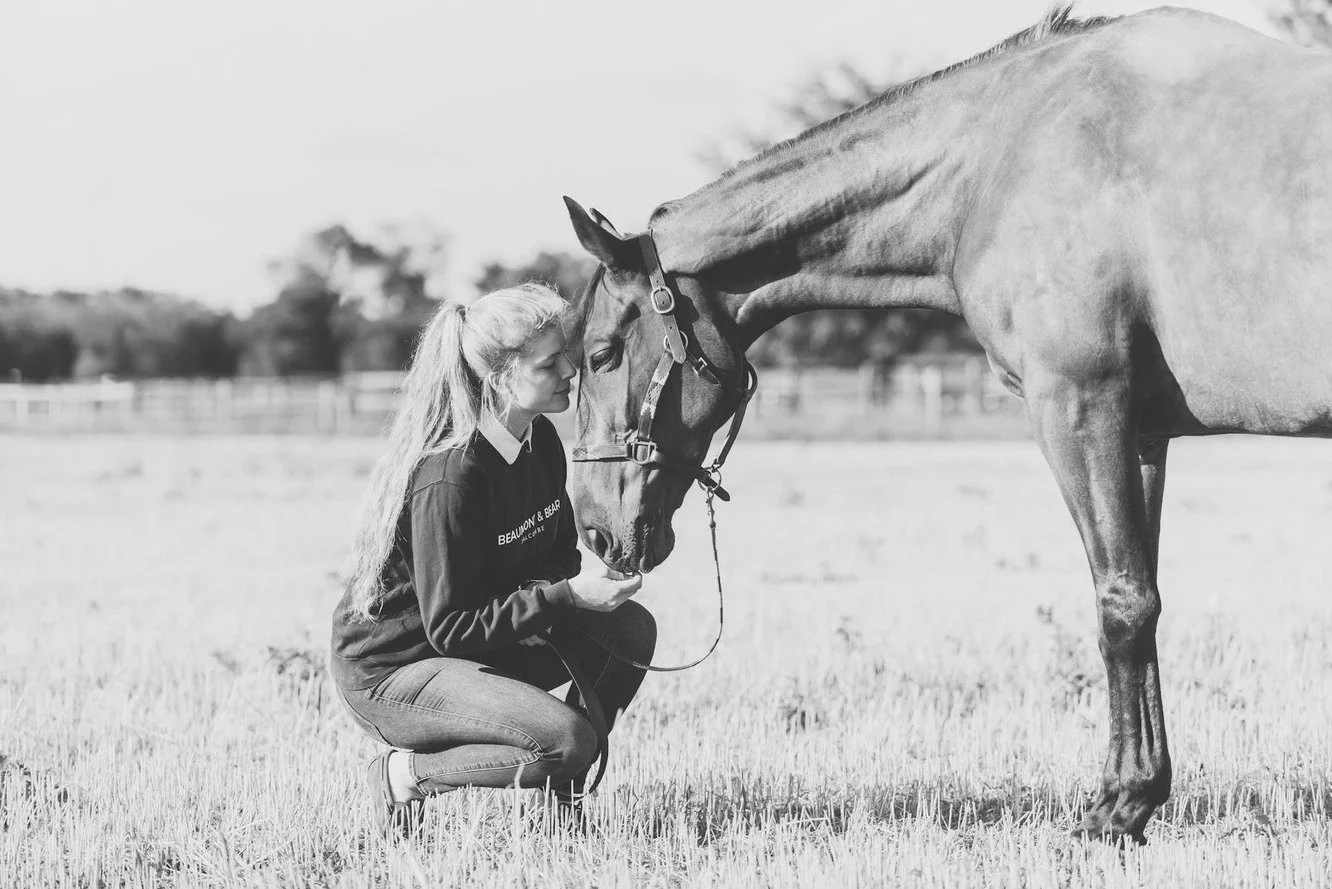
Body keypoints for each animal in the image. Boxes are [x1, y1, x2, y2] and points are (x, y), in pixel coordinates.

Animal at [559, 5, 1332, 843]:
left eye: (600, 353)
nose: (596, 528)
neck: (996, 158)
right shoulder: (1143, 435)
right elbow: (1140, 592)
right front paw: (1138, 793)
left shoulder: (1080, 407)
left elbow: (1122, 603)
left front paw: (1118, 806)